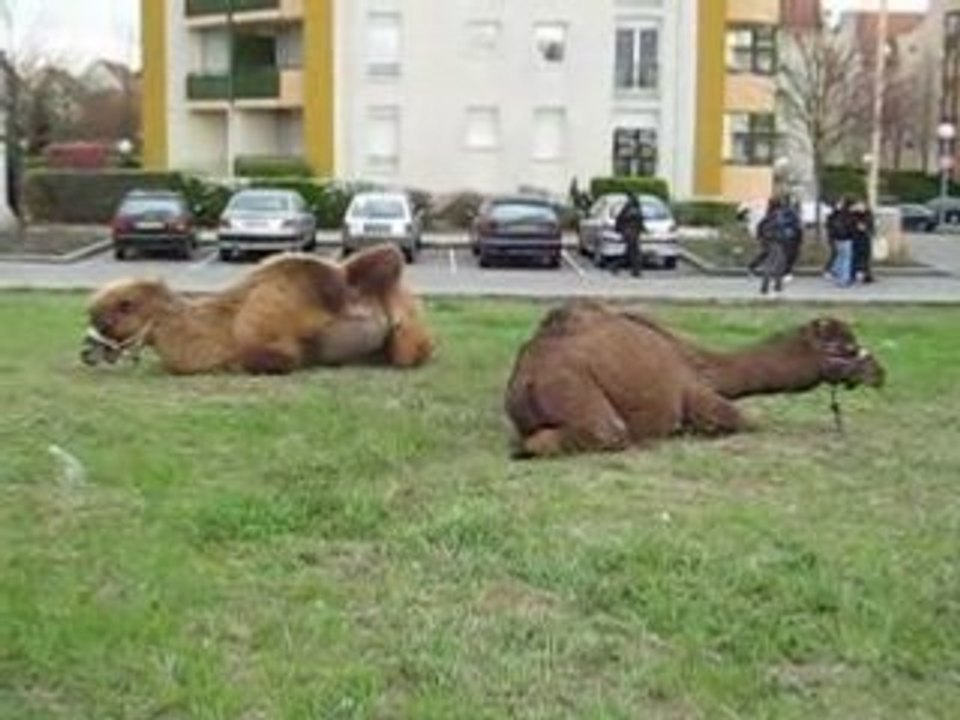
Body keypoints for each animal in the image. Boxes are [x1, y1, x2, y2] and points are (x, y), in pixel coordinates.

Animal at [505, 301, 885, 458]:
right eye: (845, 347)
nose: (879, 372)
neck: (701, 365)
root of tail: (525, 378)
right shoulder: (695, 393)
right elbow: (747, 420)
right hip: (575, 391)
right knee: (606, 431)